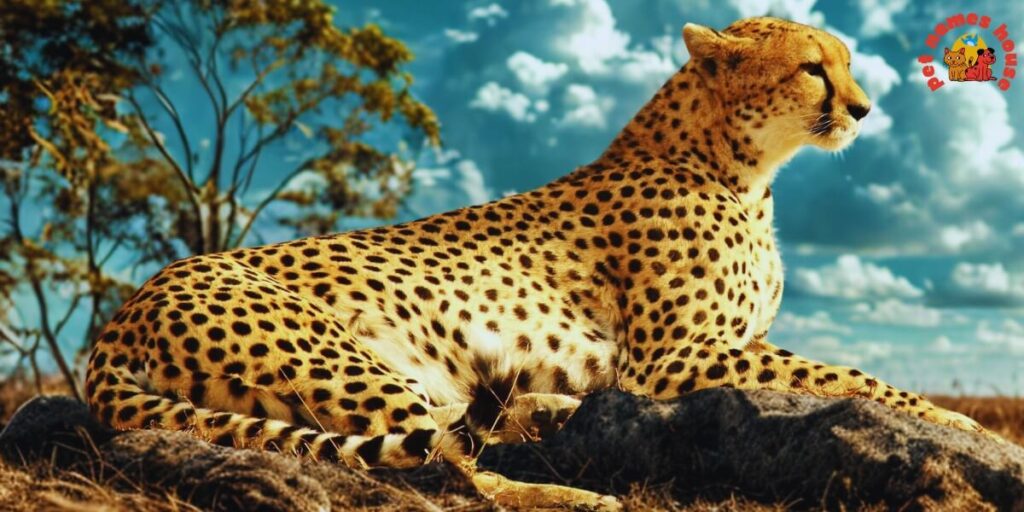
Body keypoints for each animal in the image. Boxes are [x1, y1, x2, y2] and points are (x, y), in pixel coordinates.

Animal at [85, 17, 990, 510]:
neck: (743, 165)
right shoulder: (674, 359)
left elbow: (837, 371)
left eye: (845, 63)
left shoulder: (699, 353)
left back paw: (547, 422)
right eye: (813, 67)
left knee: (456, 444)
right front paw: (960, 424)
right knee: (445, 477)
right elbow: (847, 376)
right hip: (348, 362)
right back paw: (580, 495)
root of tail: (124, 310)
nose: (865, 109)